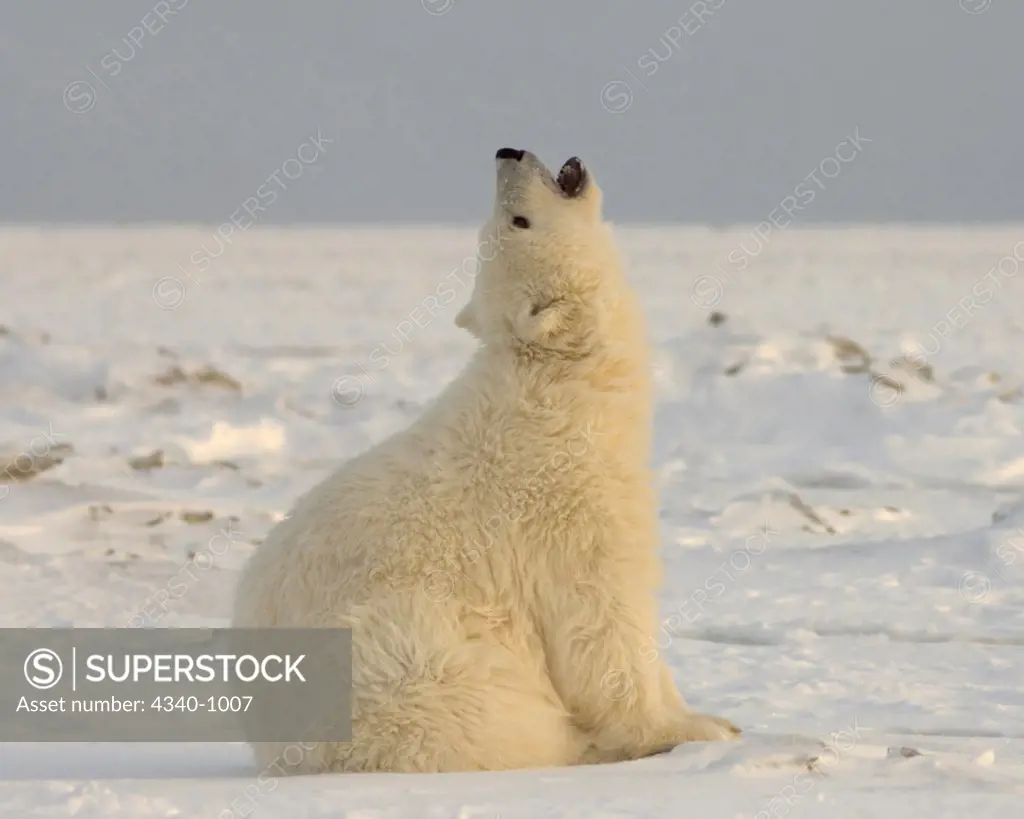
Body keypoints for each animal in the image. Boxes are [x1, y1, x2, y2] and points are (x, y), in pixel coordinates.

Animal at [234, 148, 737, 773]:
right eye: (514, 222)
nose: (507, 153)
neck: (559, 386)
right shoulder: (564, 511)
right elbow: (599, 622)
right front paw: (683, 731)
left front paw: (714, 717)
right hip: (401, 652)